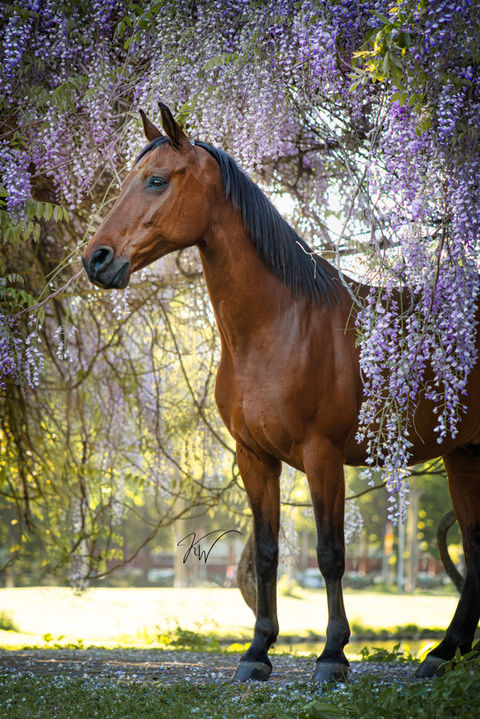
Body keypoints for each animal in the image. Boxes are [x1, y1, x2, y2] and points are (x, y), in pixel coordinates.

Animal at [82, 103, 480, 682]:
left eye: (157, 181)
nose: (96, 259)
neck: (280, 327)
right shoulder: (254, 457)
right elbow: (267, 552)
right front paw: (257, 652)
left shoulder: (322, 454)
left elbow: (330, 553)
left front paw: (333, 656)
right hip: (464, 454)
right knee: (475, 545)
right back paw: (444, 654)